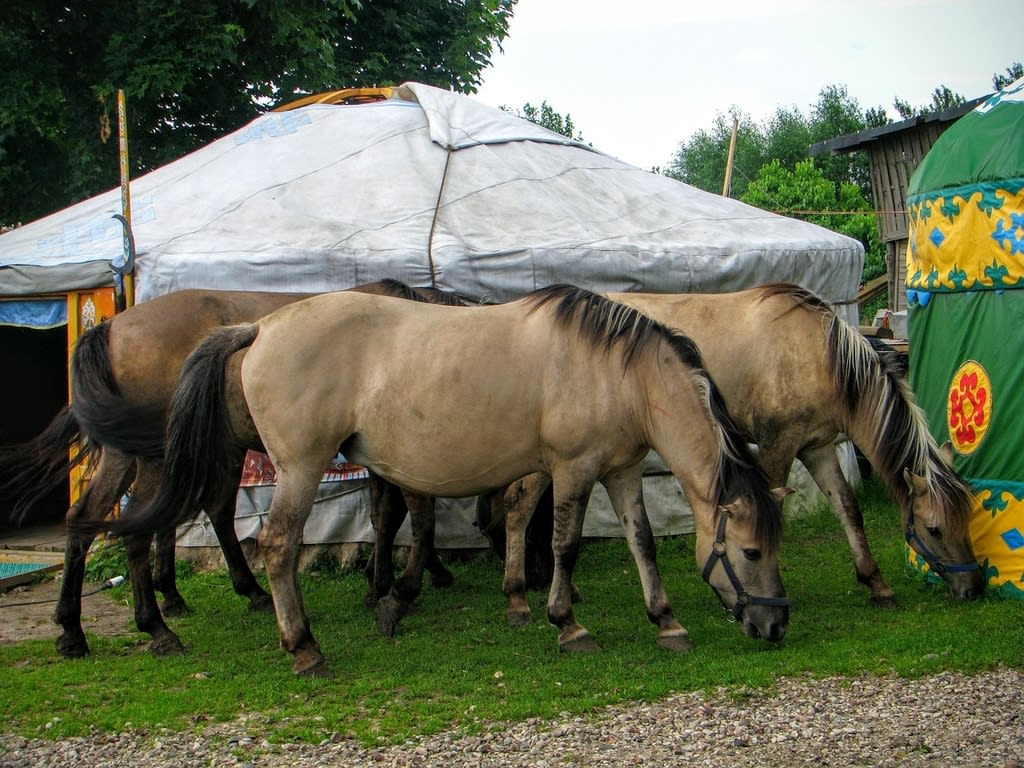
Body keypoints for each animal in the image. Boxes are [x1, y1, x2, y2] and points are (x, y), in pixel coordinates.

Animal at [0, 282, 456, 663]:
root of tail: (111, 328)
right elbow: (401, 515)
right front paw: (397, 583)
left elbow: (385, 516)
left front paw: (391, 580)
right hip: (159, 457)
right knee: (142, 527)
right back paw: (158, 627)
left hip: (127, 454)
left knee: (89, 519)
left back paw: (76, 628)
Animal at [90, 286, 790, 675]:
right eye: (752, 552)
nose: (776, 628)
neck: (618, 372)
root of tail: (260, 326)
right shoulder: (573, 470)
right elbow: (563, 545)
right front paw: (567, 624)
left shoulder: (619, 471)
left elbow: (642, 544)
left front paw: (666, 622)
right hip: (299, 468)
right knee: (277, 546)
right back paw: (304, 647)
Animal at [485, 282, 983, 626]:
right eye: (934, 529)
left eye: (967, 519)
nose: (973, 586)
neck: (820, 353)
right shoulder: (779, 444)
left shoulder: (818, 446)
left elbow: (848, 510)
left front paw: (876, 582)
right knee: (518, 506)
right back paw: (517, 597)